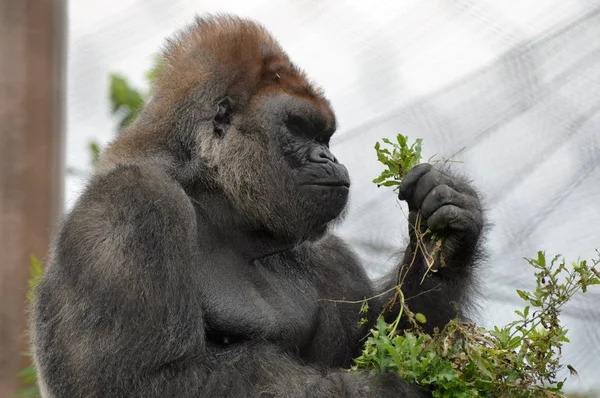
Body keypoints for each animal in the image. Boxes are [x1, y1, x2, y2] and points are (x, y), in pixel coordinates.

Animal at [31, 15, 482, 398]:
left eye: (325, 136)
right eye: (297, 128)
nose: (329, 158)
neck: (213, 197)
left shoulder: (329, 255)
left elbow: (381, 341)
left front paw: (448, 233)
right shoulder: (132, 205)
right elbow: (147, 379)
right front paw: (382, 390)